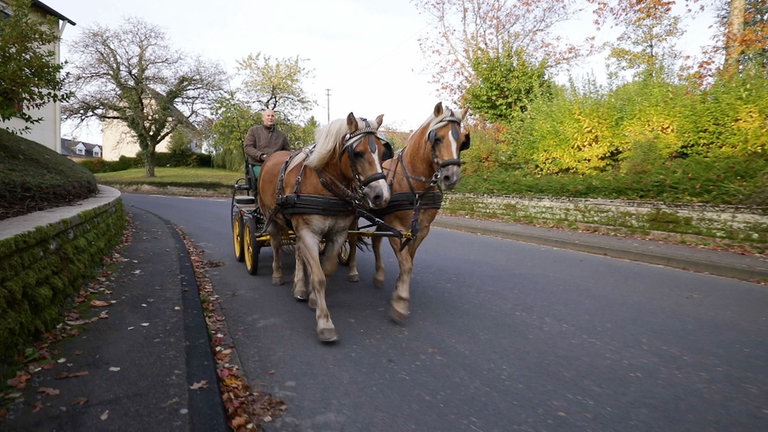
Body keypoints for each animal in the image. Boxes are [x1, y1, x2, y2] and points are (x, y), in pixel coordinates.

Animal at [260, 113, 390, 342]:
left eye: (383, 153)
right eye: (358, 153)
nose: (380, 195)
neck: (325, 186)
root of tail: (271, 158)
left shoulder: (337, 234)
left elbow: (326, 269)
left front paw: (313, 298)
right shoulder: (309, 233)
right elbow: (319, 276)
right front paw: (324, 323)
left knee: (299, 254)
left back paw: (300, 287)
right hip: (272, 218)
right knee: (275, 245)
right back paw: (277, 275)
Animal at [346, 102, 468, 320]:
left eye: (463, 141)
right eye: (437, 138)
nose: (451, 177)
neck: (415, 186)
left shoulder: (420, 229)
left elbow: (409, 259)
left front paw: (398, 286)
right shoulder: (398, 227)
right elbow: (406, 262)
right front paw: (401, 301)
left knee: (376, 241)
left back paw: (379, 275)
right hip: (354, 214)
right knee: (351, 239)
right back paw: (352, 270)